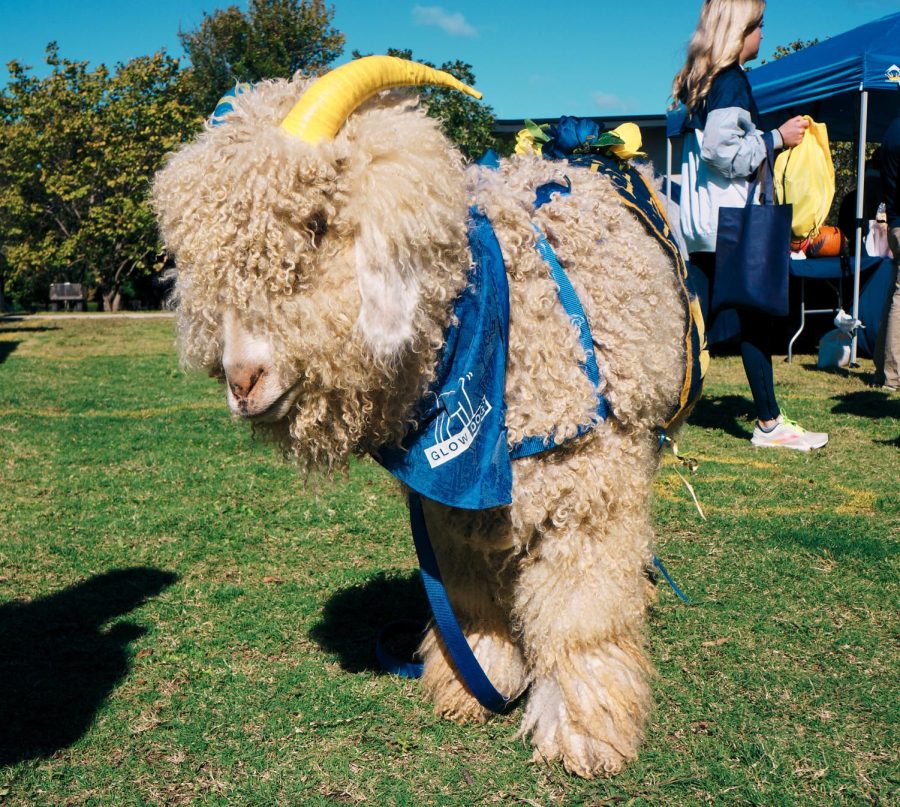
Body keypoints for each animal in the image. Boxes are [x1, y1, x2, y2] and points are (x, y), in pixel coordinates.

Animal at [153, 56, 696, 776]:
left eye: (316, 224)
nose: (242, 380)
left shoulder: (586, 485)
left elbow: (580, 616)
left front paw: (583, 733)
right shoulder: (451, 509)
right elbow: (469, 599)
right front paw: (473, 682)